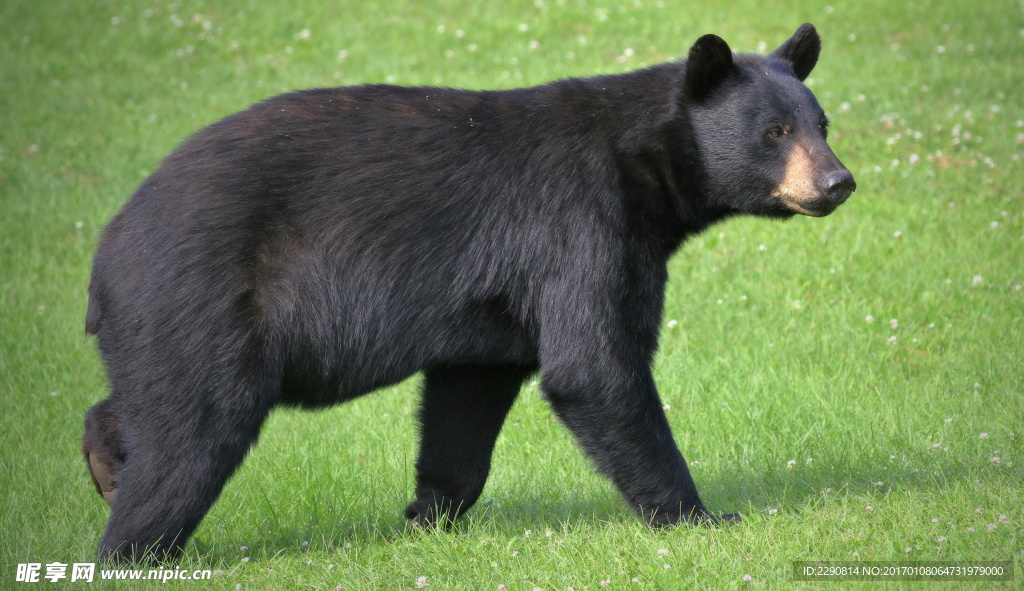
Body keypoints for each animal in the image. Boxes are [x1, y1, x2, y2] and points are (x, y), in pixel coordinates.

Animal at [83, 23, 855, 561]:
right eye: (775, 131)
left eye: (822, 124)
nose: (838, 181)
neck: (644, 165)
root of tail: (106, 247)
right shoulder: (580, 227)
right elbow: (593, 366)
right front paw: (699, 515)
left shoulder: (490, 311)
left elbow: (467, 399)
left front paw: (430, 515)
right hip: (199, 297)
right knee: (191, 433)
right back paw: (133, 542)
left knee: (150, 403)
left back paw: (106, 463)